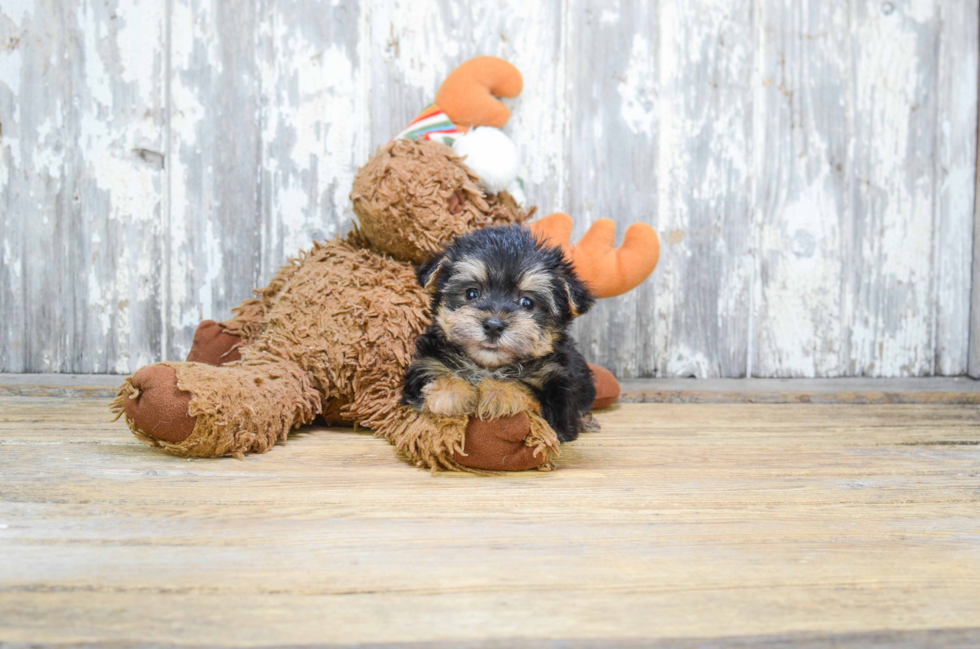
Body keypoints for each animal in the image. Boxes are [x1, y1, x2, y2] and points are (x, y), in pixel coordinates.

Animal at [398, 223, 596, 440]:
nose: (493, 325)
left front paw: (498, 393)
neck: (489, 367)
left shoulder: (559, 391)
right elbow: (433, 379)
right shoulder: (426, 365)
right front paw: (451, 392)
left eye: (527, 302)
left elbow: (524, 390)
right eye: (472, 293)